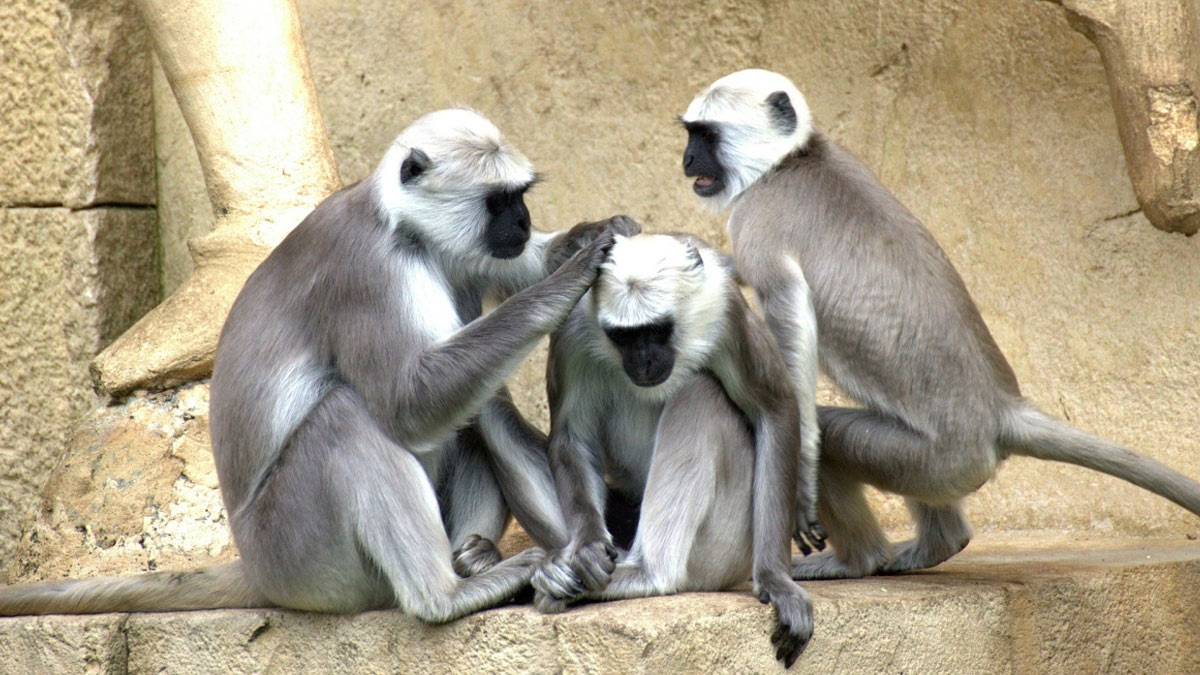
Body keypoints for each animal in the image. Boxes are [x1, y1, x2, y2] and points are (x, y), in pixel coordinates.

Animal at [0, 109, 629, 620]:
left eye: (519, 198)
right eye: (499, 201)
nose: (521, 222)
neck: (402, 227)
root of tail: (255, 564)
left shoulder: (465, 254)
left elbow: (514, 270)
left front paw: (595, 235)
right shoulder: (367, 270)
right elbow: (408, 404)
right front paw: (569, 280)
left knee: (477, 405)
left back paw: (484, 558)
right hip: (301, 551)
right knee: (350, 417)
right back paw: (448, 595)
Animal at [530, 231, 817, 667]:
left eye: (658, 331)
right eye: (624, 337)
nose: (644, 361)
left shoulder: (724, 308)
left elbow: (776, 409)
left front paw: (776, 579)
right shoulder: (574, 327)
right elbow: (570, 437)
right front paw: (586, 547)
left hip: (726, 546)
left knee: (700, 391)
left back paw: (648, 574)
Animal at [680, 69, 1200, 579]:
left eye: (705, 135)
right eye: (691, 135)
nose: (686, 160)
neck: (793, 159)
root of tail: (1000, 410)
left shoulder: (757, 220)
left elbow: (789, 326)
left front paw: (800, 484)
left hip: (937, 460)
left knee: (831, 433)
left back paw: (858, 560)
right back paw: (937, 544)